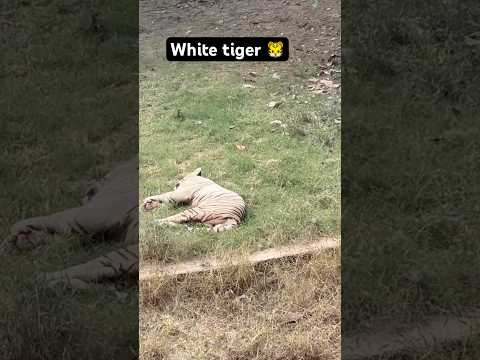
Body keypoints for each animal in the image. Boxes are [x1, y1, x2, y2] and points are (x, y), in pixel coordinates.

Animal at [4, 159, 139, 288]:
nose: (88, 191)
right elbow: (65, 236)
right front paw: (26, 237)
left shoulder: (94, 211)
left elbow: (60, 217)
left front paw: (17, 233)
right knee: (105, 271)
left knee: (93, 266)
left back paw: (39, 280)